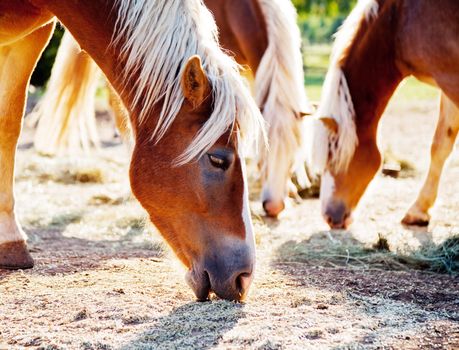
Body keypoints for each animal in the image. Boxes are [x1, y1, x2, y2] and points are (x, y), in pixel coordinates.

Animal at [312, 0, 459, 230]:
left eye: (332, 157)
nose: (328, 217)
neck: (397, 23)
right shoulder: (446, 83)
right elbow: (440, 146)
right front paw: (419, 210)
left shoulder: (451, 80)